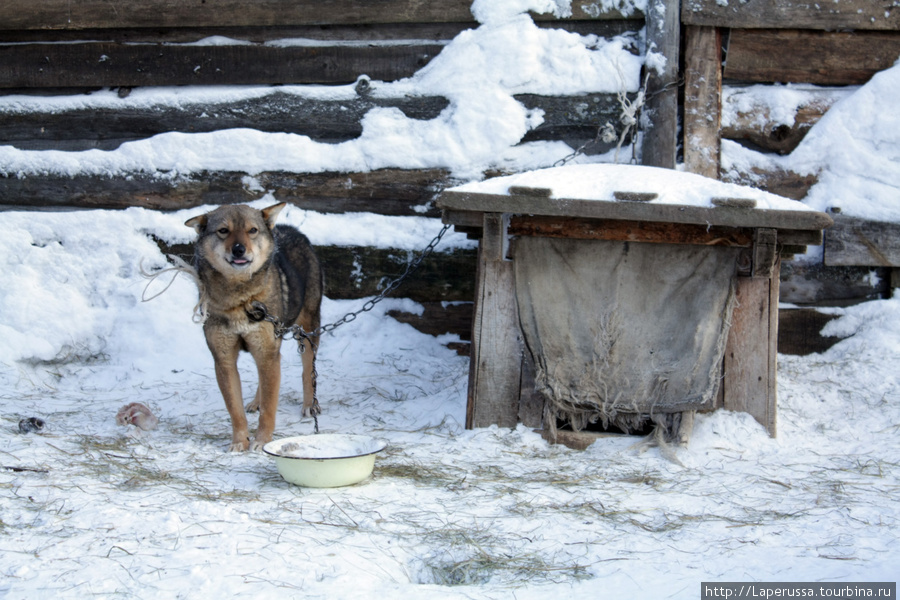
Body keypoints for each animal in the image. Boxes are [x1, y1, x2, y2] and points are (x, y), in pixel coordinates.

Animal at [184, 202, 324, 450]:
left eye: (252, 230)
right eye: (223, 231)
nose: (239, 250)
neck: (240, 300)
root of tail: (290, 229)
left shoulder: (267, 351)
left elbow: (269, 408)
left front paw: (262, 441)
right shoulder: (224, 360)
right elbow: (235, 410)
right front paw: (240, 442)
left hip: (307, 331)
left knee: (308, 369)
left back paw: (310, 404)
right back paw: (256, 401)